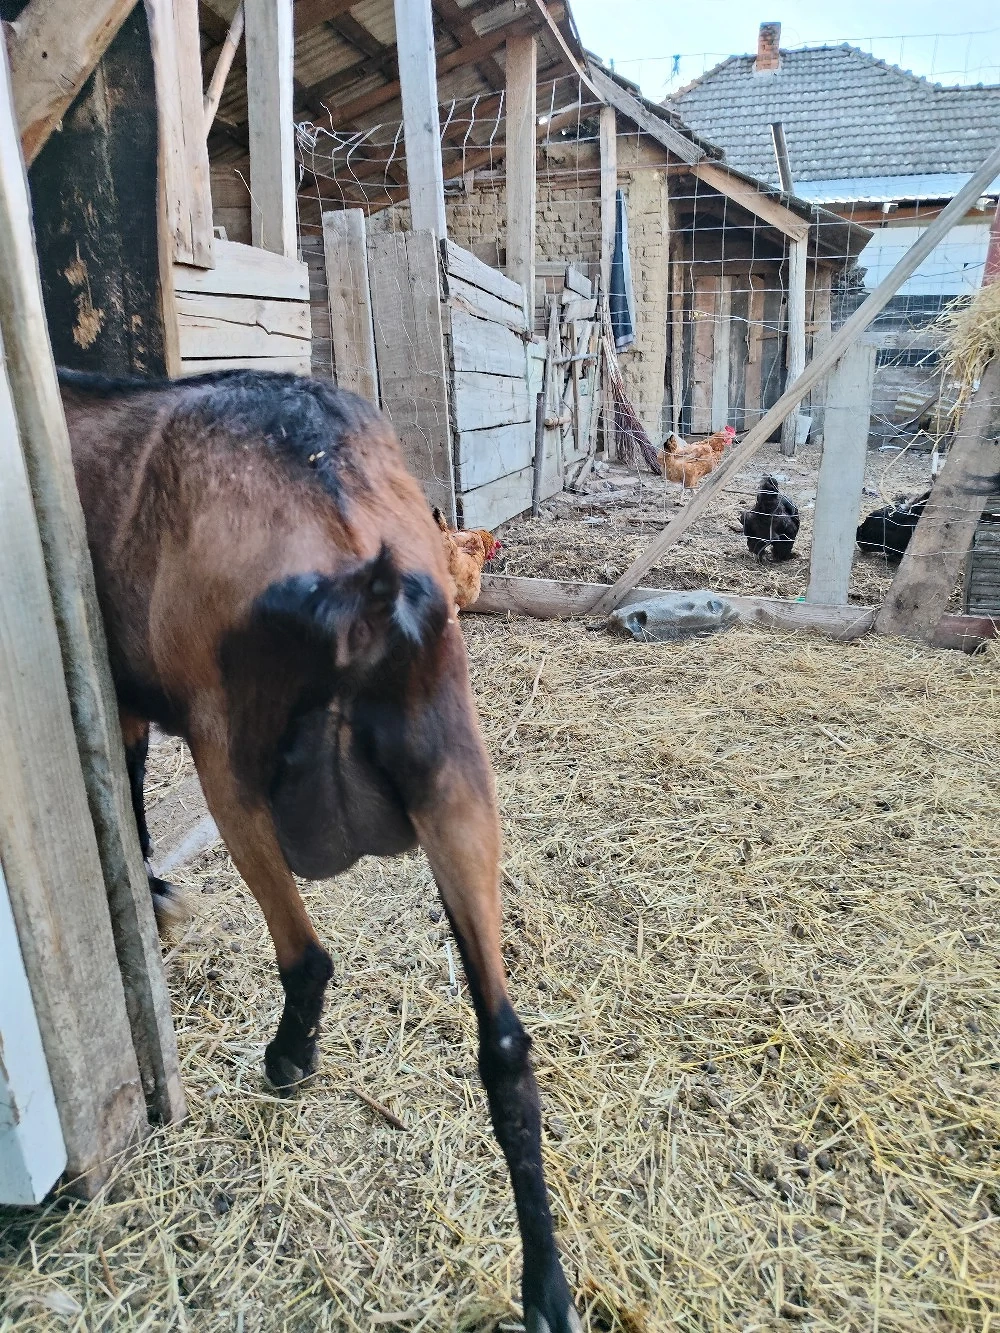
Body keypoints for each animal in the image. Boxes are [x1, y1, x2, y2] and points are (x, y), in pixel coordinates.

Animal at [60, 368, 582, 1333]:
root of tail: (336, 517)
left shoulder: (130, 704)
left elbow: (130, 789)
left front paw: (155, 894)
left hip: (232, 763)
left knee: (307, 954)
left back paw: (288, 1059)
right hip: (455, 776)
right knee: (505, 1047)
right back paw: (547, 1288)